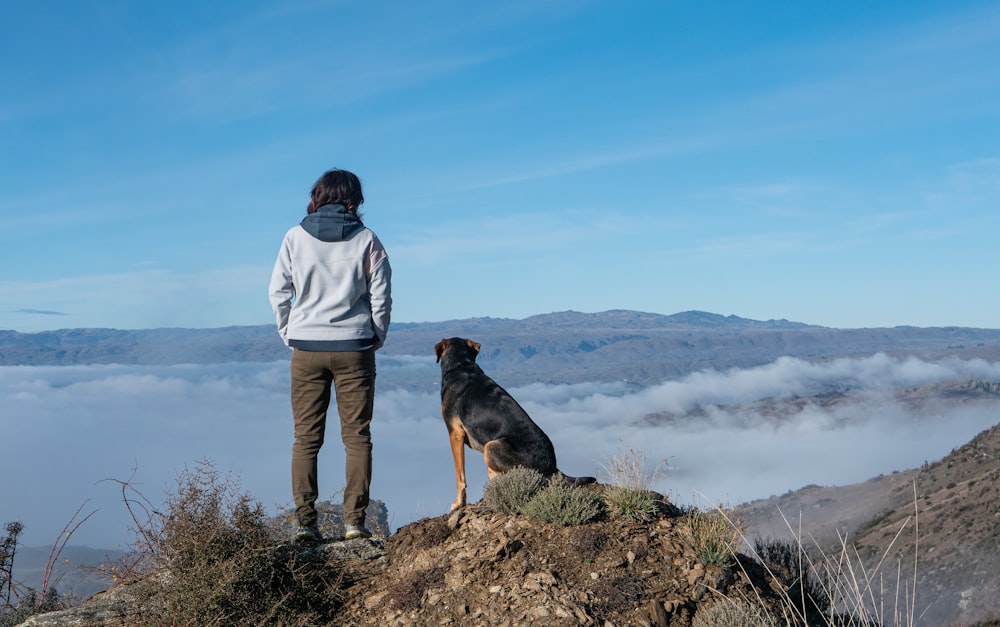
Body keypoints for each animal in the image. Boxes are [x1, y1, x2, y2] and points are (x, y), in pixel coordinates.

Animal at [432, 338, 592, 510]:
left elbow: (459, 475)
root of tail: (552, 468)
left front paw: (458, 503)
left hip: (491, 446)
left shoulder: (455, 434)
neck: (461, 364)